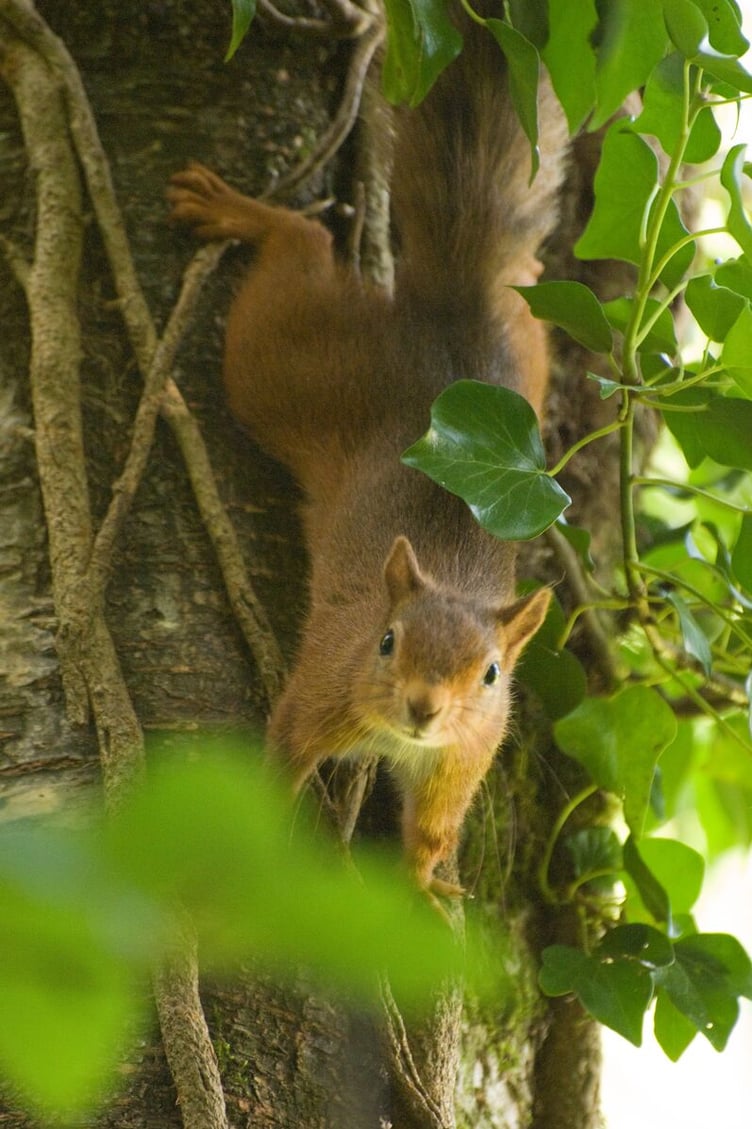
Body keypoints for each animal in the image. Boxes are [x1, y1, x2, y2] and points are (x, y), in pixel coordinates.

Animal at [167, 11, 567, 901]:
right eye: (386, 641)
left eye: (492, 675)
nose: (424, 706)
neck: (401, 741)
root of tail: (446, 319)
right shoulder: (322, 684)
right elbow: (280, 755)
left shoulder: (465, 756)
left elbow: (432, 829)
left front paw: (424, 883)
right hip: (294, 366)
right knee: (302, 242)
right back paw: (245, 213)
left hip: (527, 350)